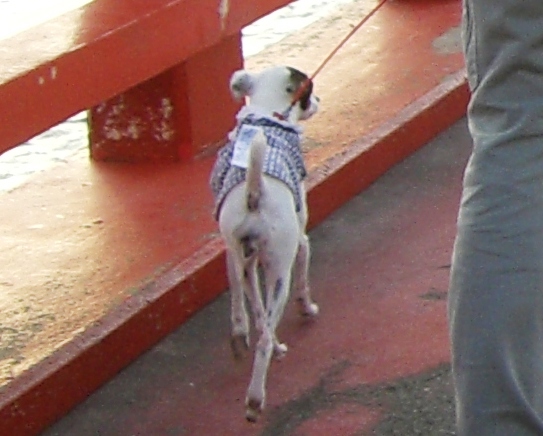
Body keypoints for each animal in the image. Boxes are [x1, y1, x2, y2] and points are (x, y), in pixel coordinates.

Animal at [209, 66, 320, 422]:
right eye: (309, 93)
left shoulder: (230, 256)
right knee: (265, 337)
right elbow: (304, 282)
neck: (267, 114)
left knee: (260, 320)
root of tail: (255, 194)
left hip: (246, 261)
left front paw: (237, 334)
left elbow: (236, 301)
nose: (318, 99)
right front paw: (308, 308)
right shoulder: (302, 241)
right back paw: (255, 399)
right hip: (279, 271)